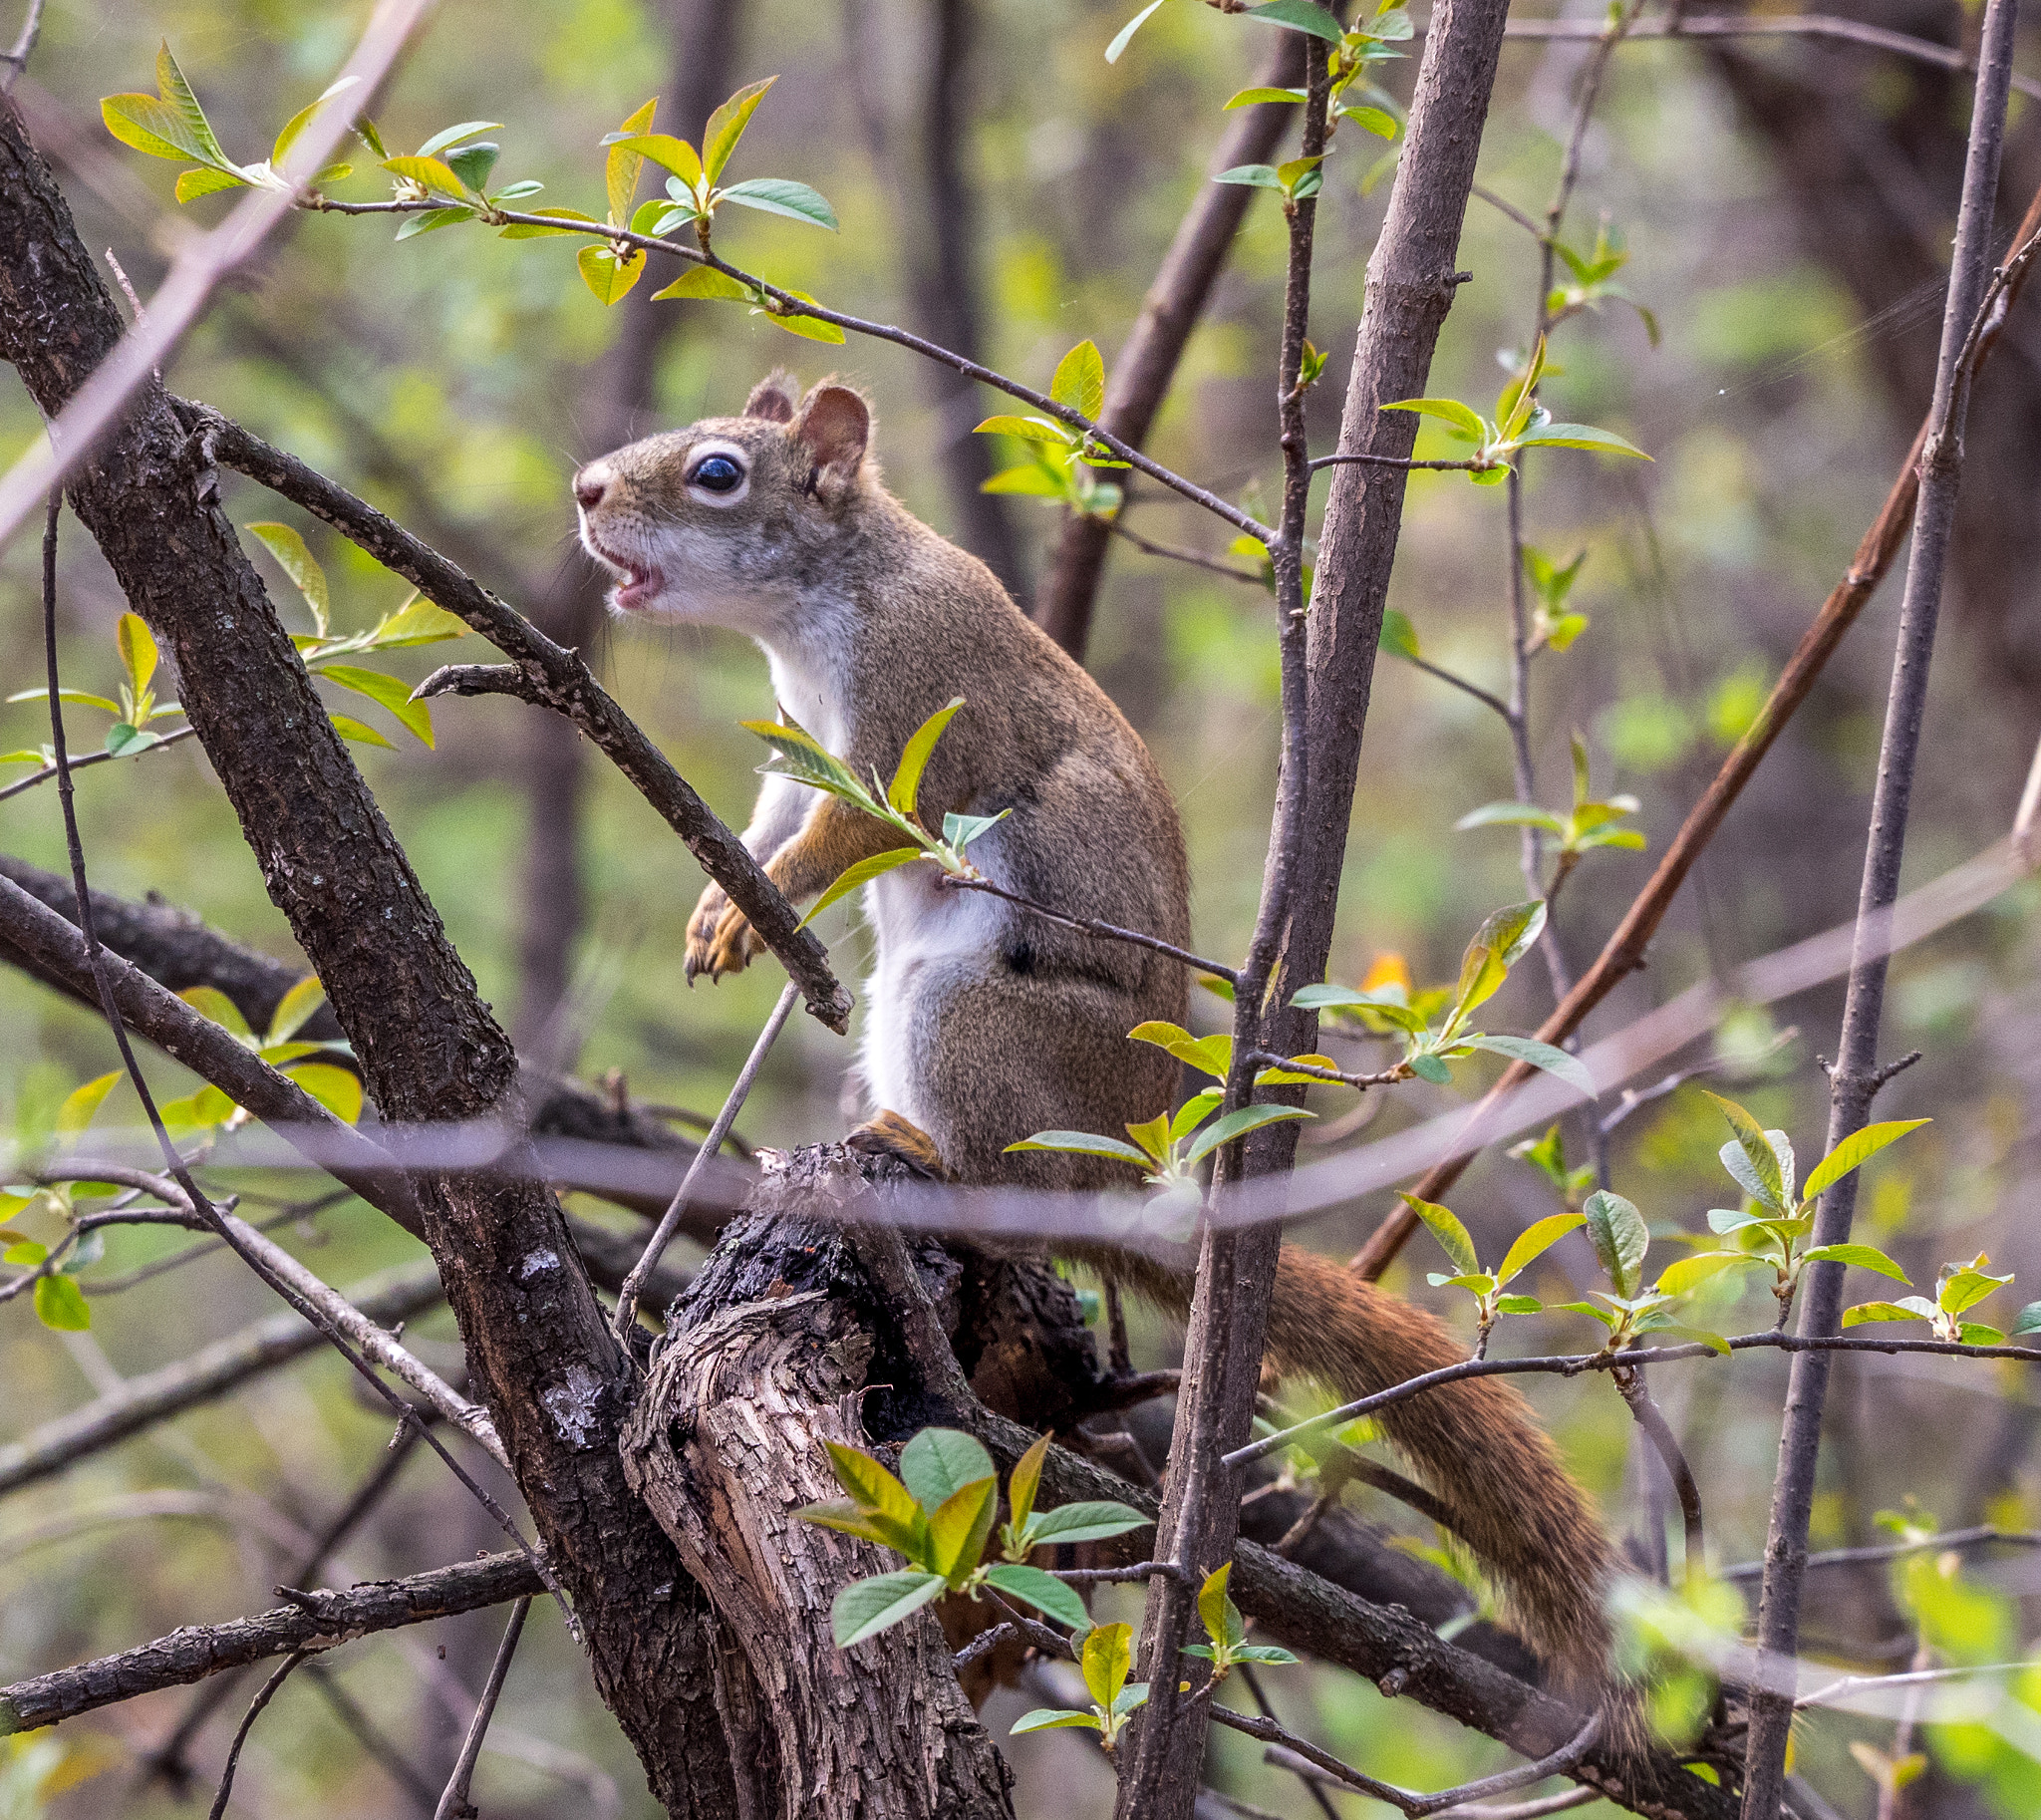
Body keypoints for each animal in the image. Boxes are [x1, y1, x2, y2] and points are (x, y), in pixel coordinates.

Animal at [574, 371, 1623, 1708]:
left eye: (716, 473)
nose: (584, 491)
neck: (819, 604)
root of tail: (1115, 1179)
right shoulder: (791, 744)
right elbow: (762, 826)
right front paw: (719, 913)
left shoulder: (918, 708)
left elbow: (857, 828)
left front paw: (768, 900)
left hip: (970, 1020)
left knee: (1000, 1188)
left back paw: (915, 1146)